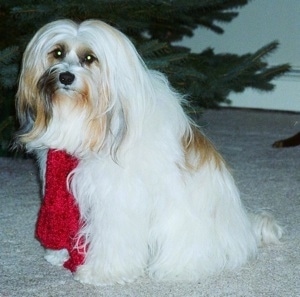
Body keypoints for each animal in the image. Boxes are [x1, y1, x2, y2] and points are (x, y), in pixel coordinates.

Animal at [16, 19, 282, 284]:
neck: (91, 121)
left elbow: (112, 237)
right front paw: (59, 254)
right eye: (58, 53)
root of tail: (243, 230)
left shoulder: (117, 198)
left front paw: (102, 272)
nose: (65, 76)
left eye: (90, 58)